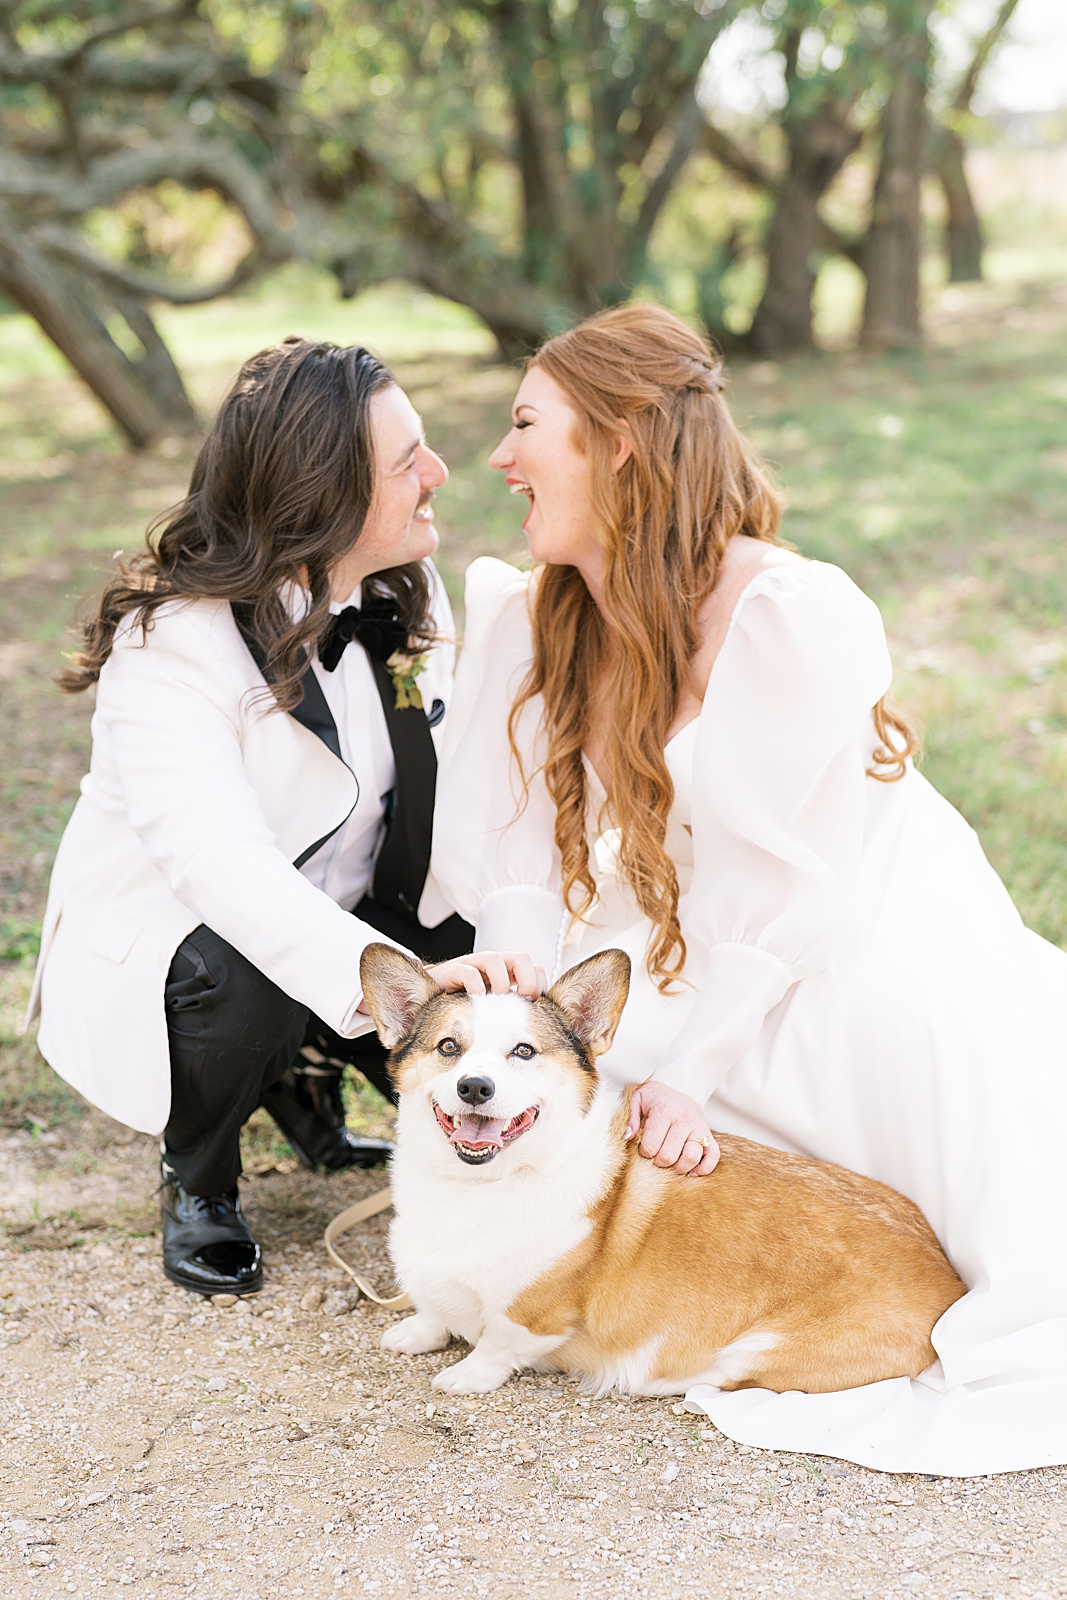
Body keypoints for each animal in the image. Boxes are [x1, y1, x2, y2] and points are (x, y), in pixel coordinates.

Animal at [358, 940, 966, 1395]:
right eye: (448, 1048)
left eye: (524, 1052)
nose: (474, 1087)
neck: (477, 1185)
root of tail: (951, 1278)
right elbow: (433, 1310)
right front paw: (417, 1332)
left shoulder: (530, 1317)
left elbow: (496, 1344)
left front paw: (466, 1375)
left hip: (753, 1350)